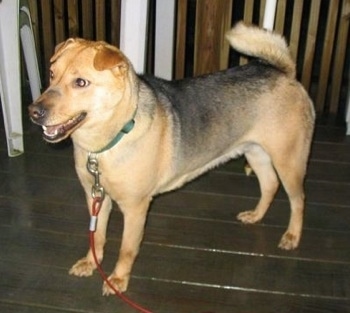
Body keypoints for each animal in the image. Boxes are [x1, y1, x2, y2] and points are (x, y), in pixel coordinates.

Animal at [29, 22, 314, 294]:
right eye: (52, 74)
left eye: (81, 83)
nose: (33, 112)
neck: (106, 143)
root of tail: (284, 72)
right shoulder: (95, 197)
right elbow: (96, 235)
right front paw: (90, 262)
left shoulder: (135, 208)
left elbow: (127, 248)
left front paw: (118, 280)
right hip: (255, 153)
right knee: (270, 185)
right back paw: (255, 215)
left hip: (288, 161)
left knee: (298, 199)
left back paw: (292, 236)